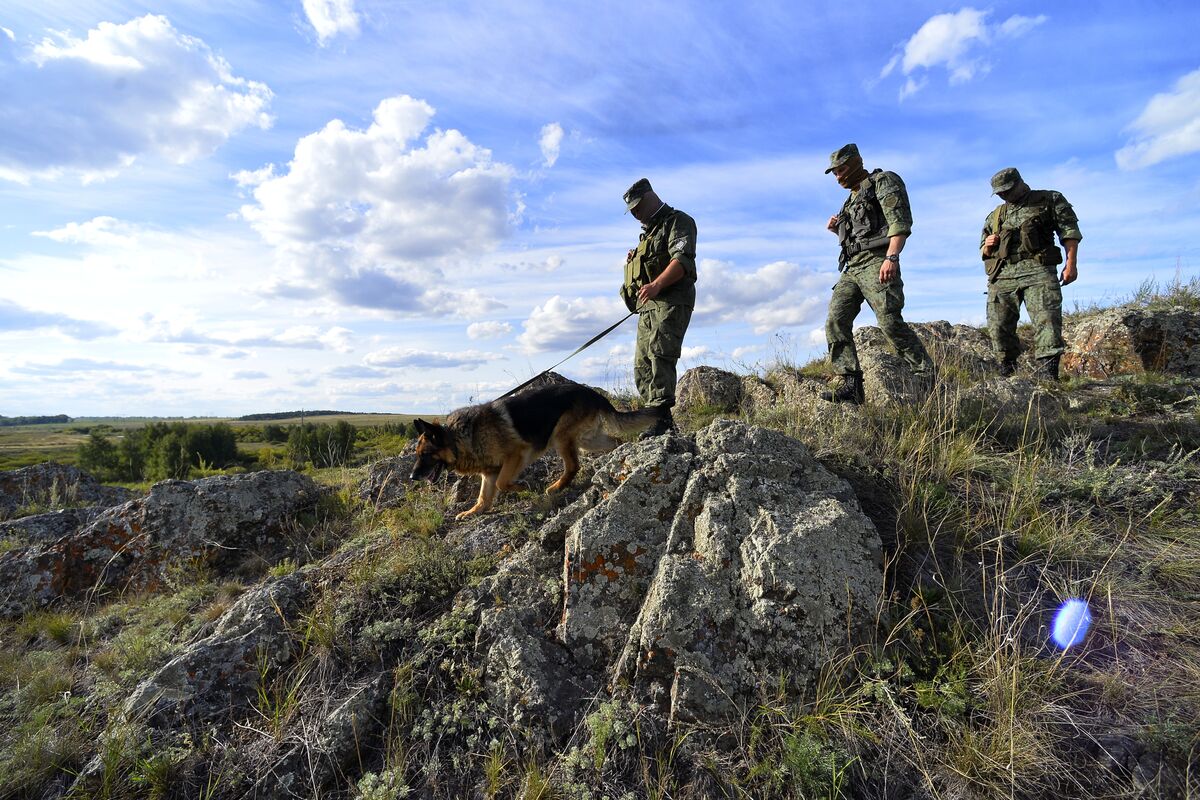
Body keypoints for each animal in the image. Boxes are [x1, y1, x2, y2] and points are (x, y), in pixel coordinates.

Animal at [410, 383, 657, 520]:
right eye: (417, 455)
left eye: (425, 455)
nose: (412, 477)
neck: (460, 438)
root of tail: (591, 393)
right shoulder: (488, 473)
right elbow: (484, 497)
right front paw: (473, 512)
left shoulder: (516, 455)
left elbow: (502, 483)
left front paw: (526, 487)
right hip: (588, 440)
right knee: (615, 441)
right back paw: (618, 455)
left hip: (561, 437)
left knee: (573, 466)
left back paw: (556, 487)